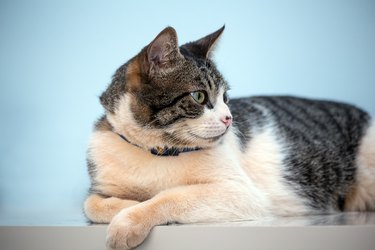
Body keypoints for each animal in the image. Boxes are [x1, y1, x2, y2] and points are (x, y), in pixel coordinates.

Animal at [84, 26, 375, 249]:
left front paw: (128, 220)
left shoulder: (240, 193)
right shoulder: (101, 185)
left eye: (225, 97)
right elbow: (92, 205)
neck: (158, 151)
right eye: (199, 96)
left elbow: (171, 196)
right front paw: (127, 204)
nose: (229, 118)